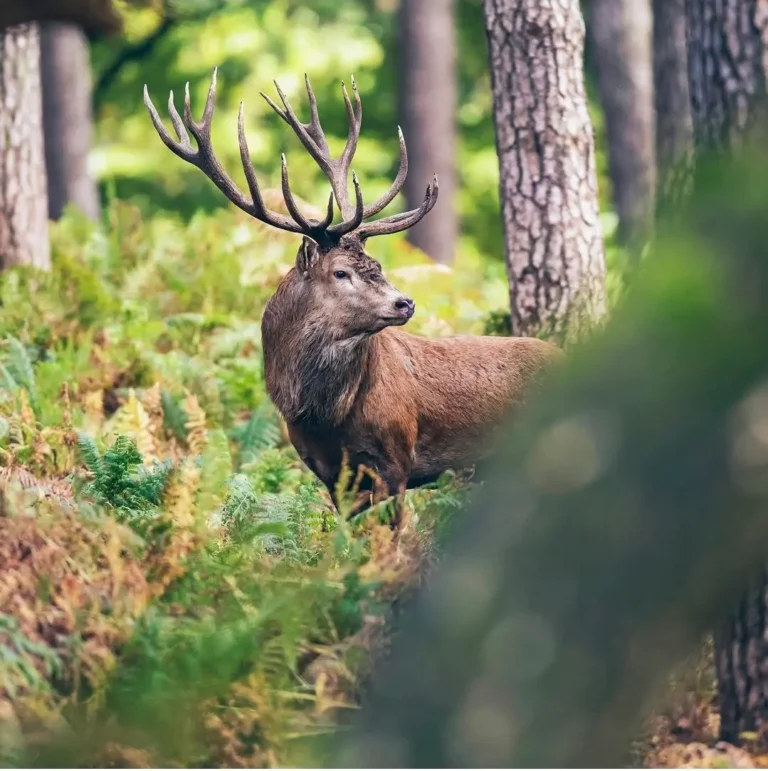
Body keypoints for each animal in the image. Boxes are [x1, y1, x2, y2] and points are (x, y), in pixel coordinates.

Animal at [144, 69, 561, 529]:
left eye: (377, 264)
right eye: (341, 272)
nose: (405, 303)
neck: (325, 418)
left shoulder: (396, 457)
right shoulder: (328, 471)